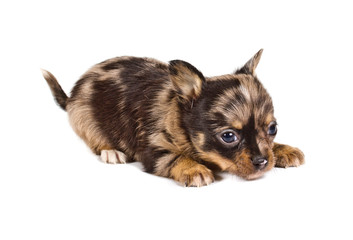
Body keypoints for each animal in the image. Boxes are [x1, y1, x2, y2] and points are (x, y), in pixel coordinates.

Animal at [43, 49, 302, 187]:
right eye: (229, 136)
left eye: (272, 129)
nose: (262, 162)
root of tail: (71, 97)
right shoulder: (154, 151)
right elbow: (176, 157)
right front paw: (193, 168)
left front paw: (283, 149)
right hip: (86, 120)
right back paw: (111, 151)